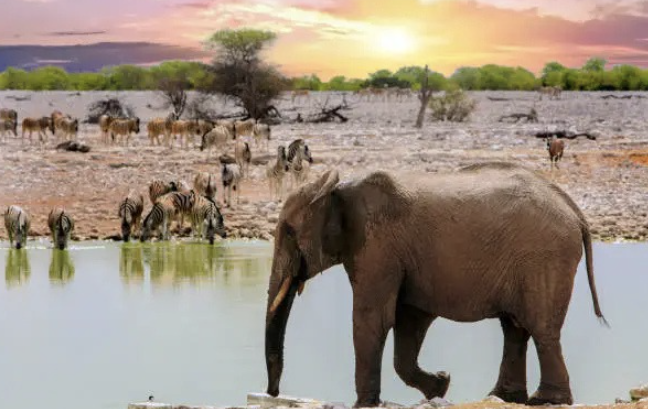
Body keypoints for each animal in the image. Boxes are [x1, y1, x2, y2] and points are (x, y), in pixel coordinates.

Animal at [264, 162, 607, 408]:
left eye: (289, 232)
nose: (273, 393)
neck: (335, 189)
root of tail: (575, 211)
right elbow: (408, 320)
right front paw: (441, 384)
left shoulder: (377, 246)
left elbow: (373, 319)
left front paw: (364, 404)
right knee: (515, 327)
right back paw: (505, 397)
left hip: (543, 257)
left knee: (540, 328)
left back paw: (544, 400)